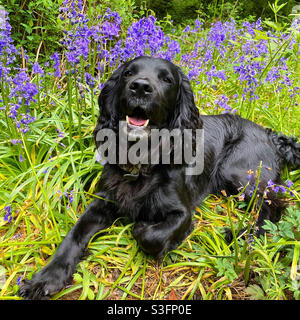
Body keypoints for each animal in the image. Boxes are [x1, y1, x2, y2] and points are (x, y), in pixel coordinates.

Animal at [19, 56, 298, 298]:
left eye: (167, 79)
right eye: (128, 73)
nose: (140, 87)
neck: (141, 158)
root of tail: (270, 133)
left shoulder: (182, 213)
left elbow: (151, 236)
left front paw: (142, 226)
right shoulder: (104, 201)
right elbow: (74, 235)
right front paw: (45, 279)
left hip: (239, 173)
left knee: (273, 207)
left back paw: (242, 235)